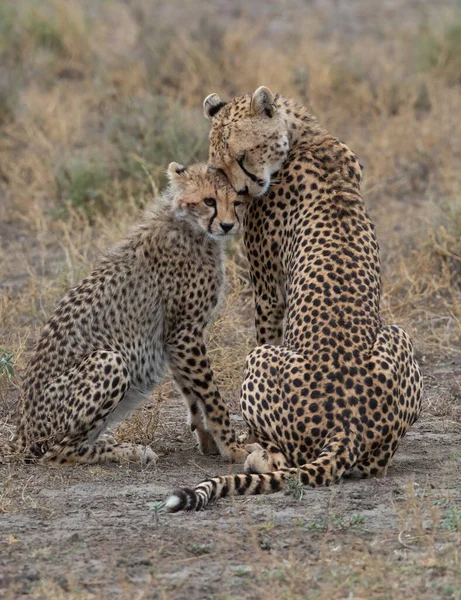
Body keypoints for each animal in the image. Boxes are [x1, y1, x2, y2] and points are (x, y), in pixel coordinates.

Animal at [1, 163, 250, 464]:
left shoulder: (173, 338)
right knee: (58, 452)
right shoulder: (185, 332)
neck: (189, 226)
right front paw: (234, 448)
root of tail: (22, 432)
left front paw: (208, 441)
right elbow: (211, 395)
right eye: (209, 201)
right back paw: (129, 451)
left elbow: (192, 393)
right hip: (109, 360)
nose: (227, 225)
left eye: (237, 202)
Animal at [164, 89, 422, 510]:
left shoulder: (268, 290)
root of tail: (346, 426)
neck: (303, 137)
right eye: (219, 165)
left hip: (260, 360)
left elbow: (266, 326)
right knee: (374, 466)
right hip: (398, 336)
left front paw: (244, 439)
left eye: (242, 155)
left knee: (283, 459)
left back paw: (257, 455)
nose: (242, 193)